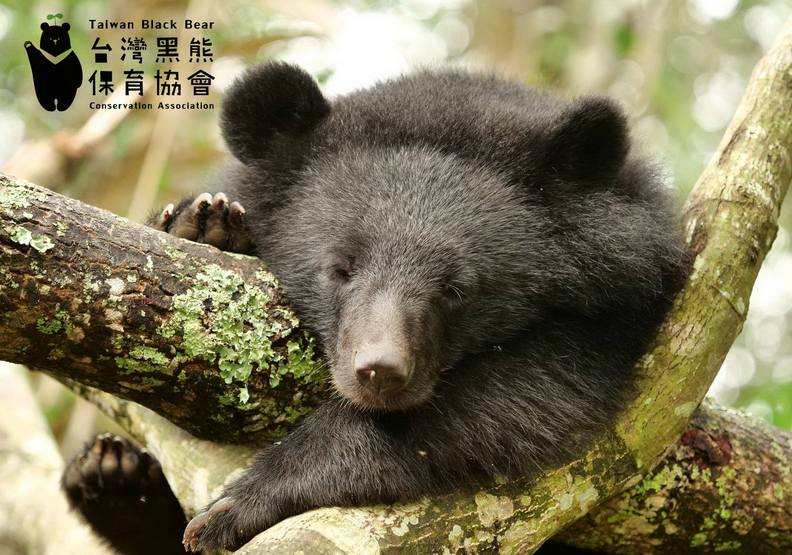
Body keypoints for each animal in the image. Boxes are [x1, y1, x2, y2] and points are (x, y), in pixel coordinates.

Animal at [62, 63, 688, 553]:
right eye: (340, 269)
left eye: (456, 290)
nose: (379, 372)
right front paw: (205, 223)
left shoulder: (615, 315)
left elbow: (521, 399)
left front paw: (237, 506)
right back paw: (112, 477)